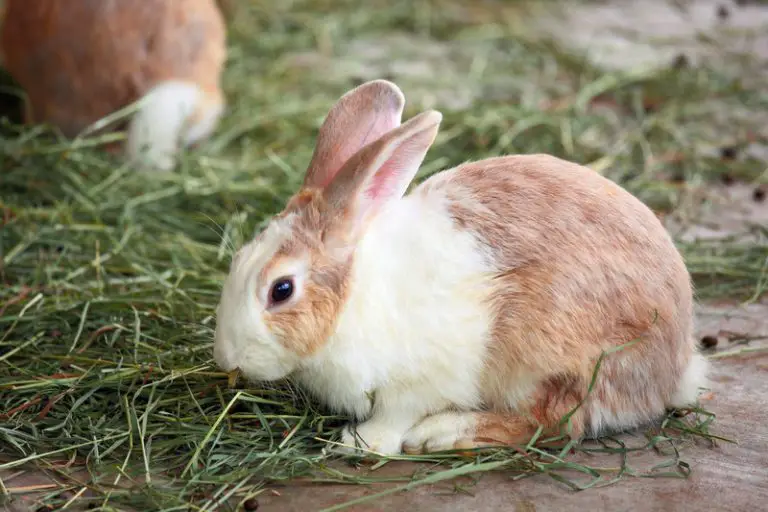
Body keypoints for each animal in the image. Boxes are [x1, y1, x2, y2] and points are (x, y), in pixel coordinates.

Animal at [213, 79, 708, 456]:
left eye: (281, 289)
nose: (226, 358)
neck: (355, 297)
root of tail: (675, 366)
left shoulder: (417, 382)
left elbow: (394, 416)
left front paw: (358, 442)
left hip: (552, 360)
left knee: (553, 423)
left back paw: (442, 434)